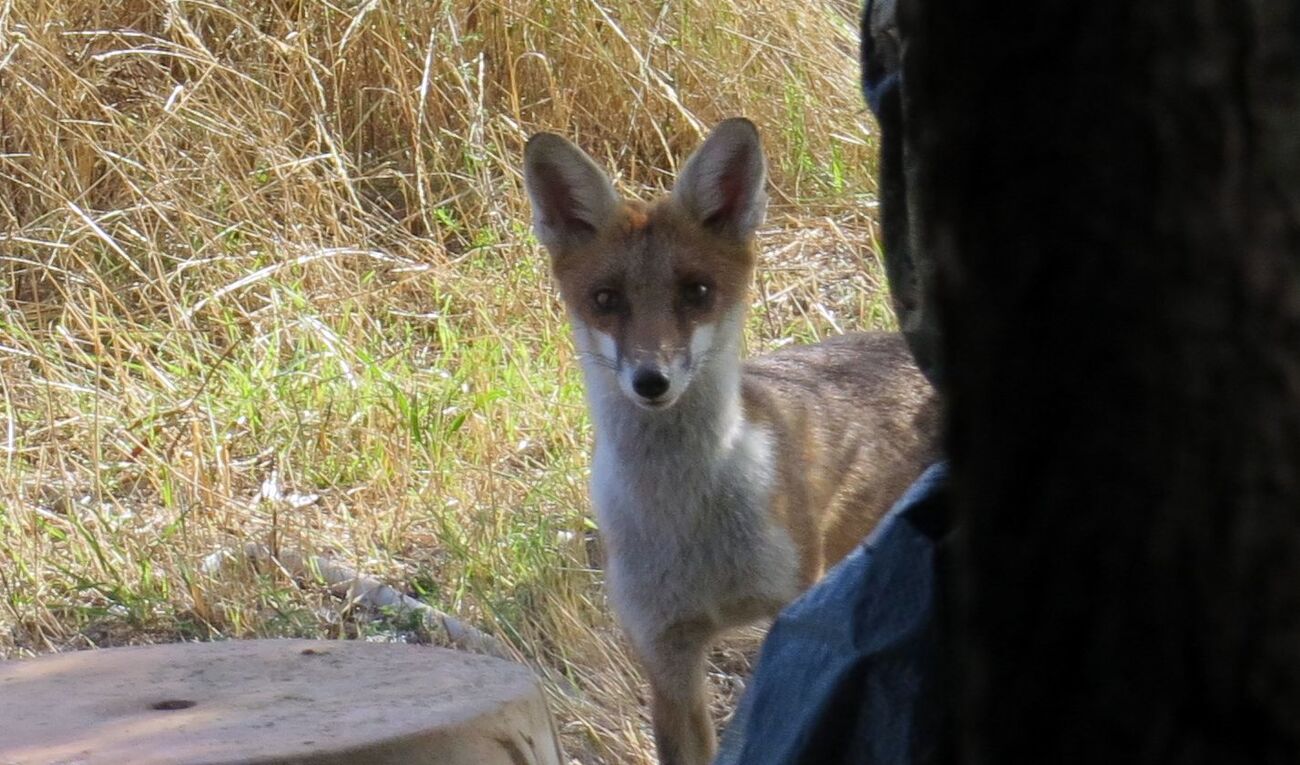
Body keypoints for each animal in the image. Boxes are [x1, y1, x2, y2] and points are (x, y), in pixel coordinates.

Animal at [522, 119, 941, 765]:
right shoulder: (665, 653)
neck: (691, 524)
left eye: (696, 291)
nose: (651, 381)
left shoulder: (792, 619)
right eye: (605, 299)